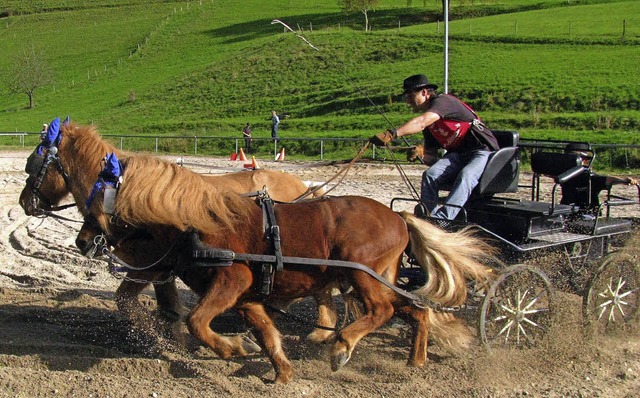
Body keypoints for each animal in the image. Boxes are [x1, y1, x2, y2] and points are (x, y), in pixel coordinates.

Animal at [17, 120, 332, 346]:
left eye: (34, 164)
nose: (23, 202)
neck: (117, 189)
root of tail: (304, 188)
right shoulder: (162, 267)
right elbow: (167, 304)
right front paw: (174, 333)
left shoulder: (147, 265)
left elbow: (126, 300)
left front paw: (157, 335)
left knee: (322, 287)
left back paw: (320, 331)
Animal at [82, 153, 496, 382]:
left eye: (97, 198)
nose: (82, 242)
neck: (199, 221)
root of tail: (399, 217)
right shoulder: (245, 296)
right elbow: (266, 333)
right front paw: (280, 371)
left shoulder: (233, 279)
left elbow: (197, 321)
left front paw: (231, 349)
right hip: (381, 279)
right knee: (413, 310)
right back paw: (417, 359)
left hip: (363, 275)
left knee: (382, 310)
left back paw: (342, 346)